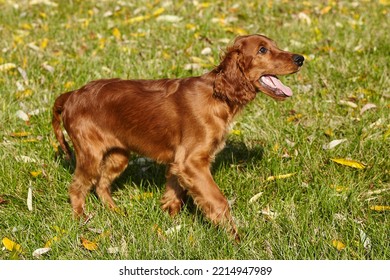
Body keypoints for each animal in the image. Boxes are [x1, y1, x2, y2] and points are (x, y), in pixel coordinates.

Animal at [51, 34, 304, 241]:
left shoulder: (179, 163)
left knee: (102, 185)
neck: (217, 96)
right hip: (90, 154)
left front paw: (170, 222)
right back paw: (81, 220)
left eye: (274, 45)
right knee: (77, 187)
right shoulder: (192, 161)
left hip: (118, 155)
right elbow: (218, 201)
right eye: (262, 50)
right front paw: (235, 239)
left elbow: (174, 193)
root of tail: (71, 95)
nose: (301, 58)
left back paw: (118, 213)